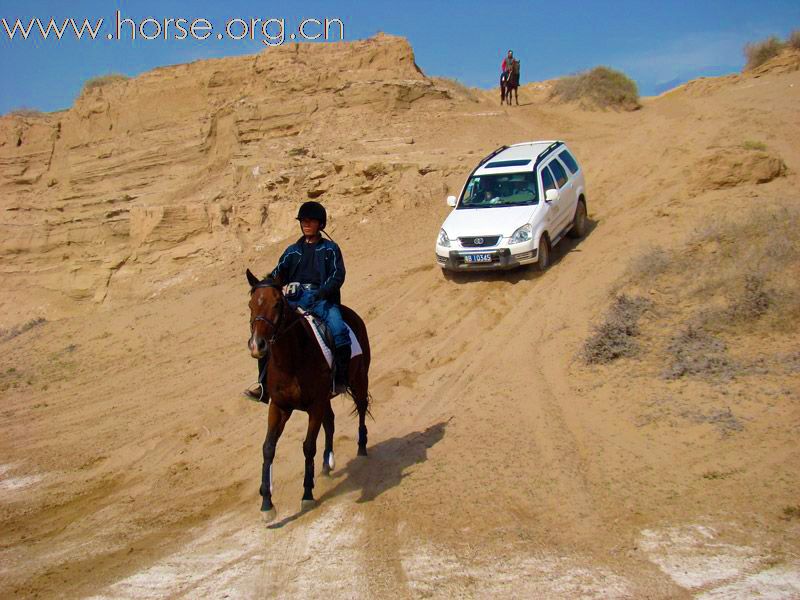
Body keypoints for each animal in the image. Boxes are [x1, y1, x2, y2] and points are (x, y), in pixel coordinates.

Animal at [245, 268, 370, 520]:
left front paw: (307, 494)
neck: (291, 361)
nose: (257, 346)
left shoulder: (315, 405)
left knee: (361, 407)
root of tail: (353, 315)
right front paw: (267, 504)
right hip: (326, 399)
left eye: (277, 304)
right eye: (251, 305)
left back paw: (361, 447)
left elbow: (308, 446)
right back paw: (326, 463)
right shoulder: (280, 407)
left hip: (359, 379)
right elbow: (268, 448)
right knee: (330, 422)